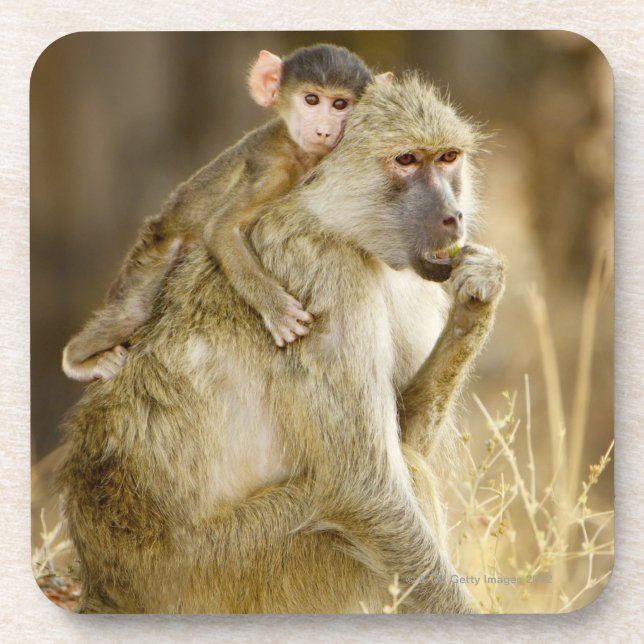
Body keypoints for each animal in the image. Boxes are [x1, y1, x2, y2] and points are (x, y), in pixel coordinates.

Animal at [62, 44, 393, 382]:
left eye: (340, 104)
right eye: (311, 99)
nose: (324, 131)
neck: (297, 150)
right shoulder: (272, 169)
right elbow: (219, 228)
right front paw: (277, 311)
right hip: (153, 252)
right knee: (133, 311)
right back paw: (77, 360)